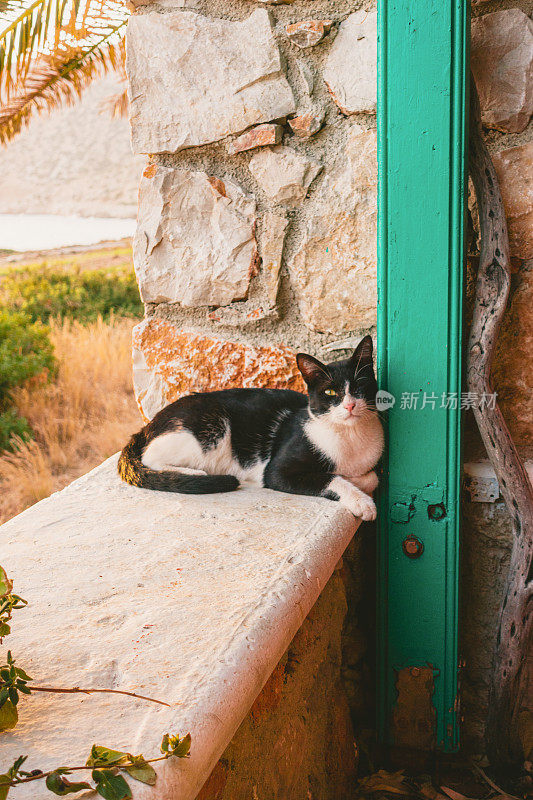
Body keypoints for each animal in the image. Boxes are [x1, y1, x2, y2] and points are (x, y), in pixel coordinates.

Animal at [117, 334, 382, 520]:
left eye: (359, 386)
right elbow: (330, 479)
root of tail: (148, 425)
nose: (350, 405)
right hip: (207, 432)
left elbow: (370, 477)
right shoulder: (276, 471)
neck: (349, 436)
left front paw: (354, 479)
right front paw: (361, 502)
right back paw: (193, 473)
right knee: (151, 456)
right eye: (330, 393)